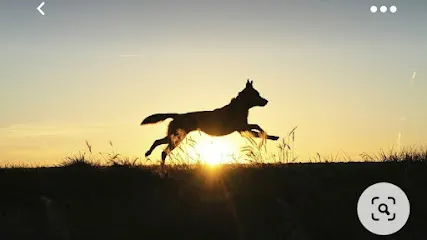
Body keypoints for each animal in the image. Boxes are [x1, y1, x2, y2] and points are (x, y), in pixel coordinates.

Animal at [140, 79, 280, 165]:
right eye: (256, 94)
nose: (266, 101)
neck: (240, 107)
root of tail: (177, 115)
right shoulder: (242, 127)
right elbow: (258, 126)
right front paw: (270, 135)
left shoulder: (243, 129)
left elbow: (258, 130)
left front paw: (270, 136)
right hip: (177, 137)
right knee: (164, 152)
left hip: (174, 136)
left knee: (158, 142)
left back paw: (148, 153)